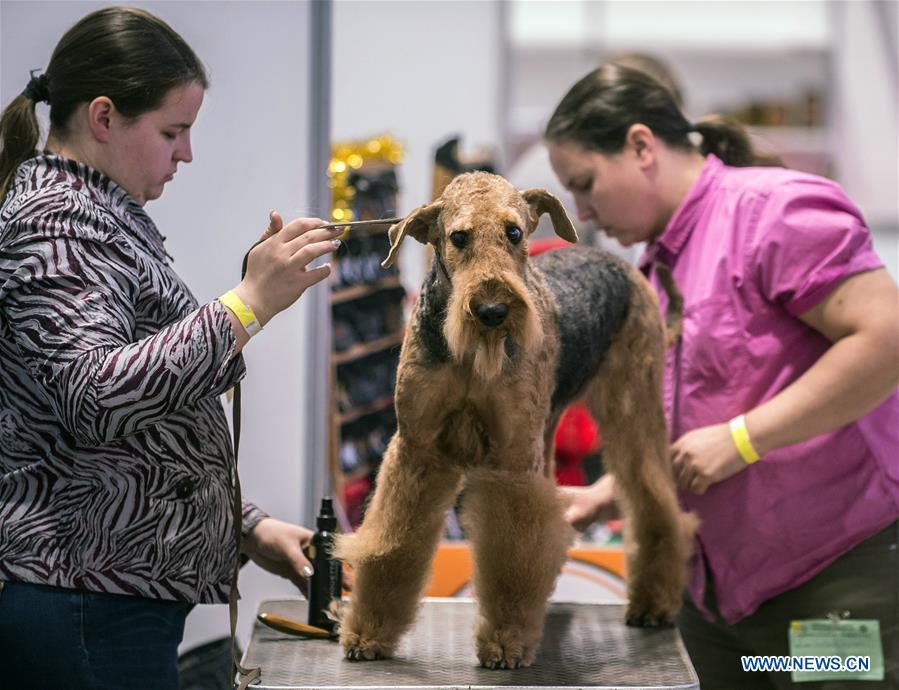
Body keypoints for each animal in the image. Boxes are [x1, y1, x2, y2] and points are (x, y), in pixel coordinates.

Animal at [338, 171, 696, 668]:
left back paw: (653, 603)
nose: (493, 311)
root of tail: (623, 266)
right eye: (459, 237)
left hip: (630, 409)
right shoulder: (417, 448)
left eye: (514, 232)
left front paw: (506, 642)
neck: (470, 358)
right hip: (543, 429)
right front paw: (369, 634)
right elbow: (392, 542)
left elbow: (512, 554)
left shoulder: (510, 462)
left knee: (654, 501)